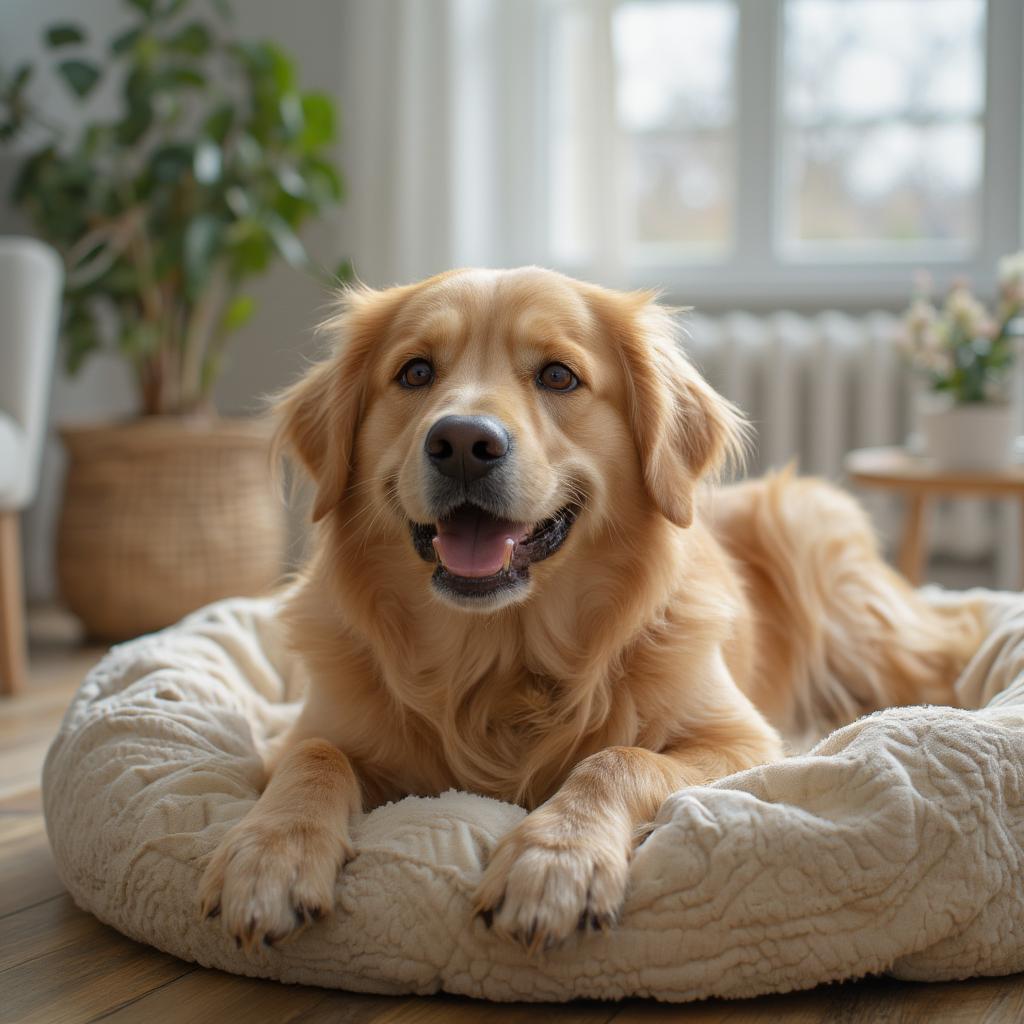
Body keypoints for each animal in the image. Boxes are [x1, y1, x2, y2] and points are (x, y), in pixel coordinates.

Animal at [197, 264, 983, 950]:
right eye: (415, 372)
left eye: (557, 375)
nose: (463, 442)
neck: (501, 657)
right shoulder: (300, 732)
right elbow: (315, 756)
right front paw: (270, 853)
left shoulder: (744, 742)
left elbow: (617, 758)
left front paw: (556, 860)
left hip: (823, 556)